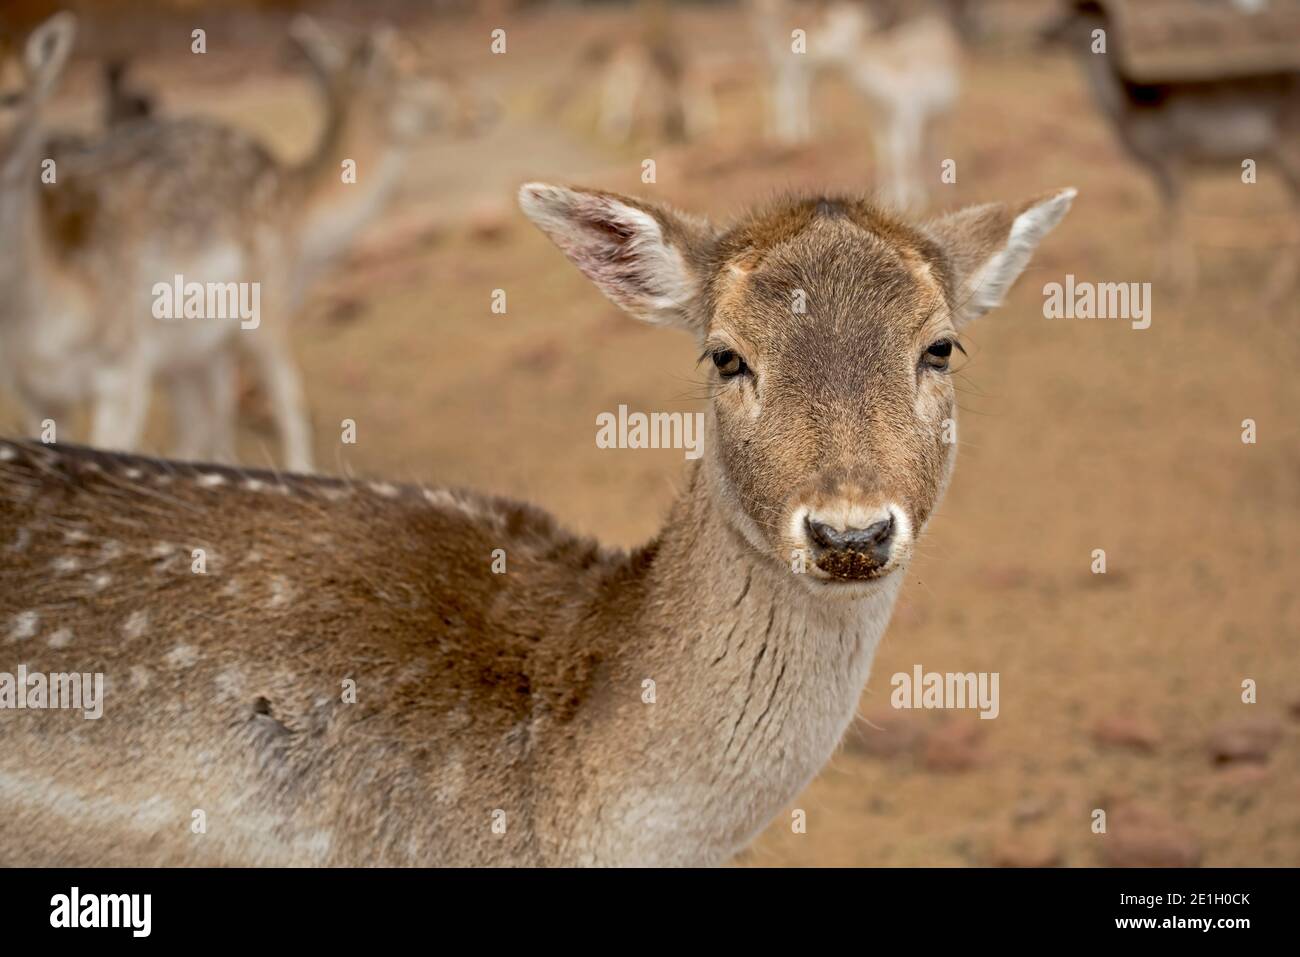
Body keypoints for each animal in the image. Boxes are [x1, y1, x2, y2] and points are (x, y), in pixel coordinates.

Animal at [754, 0, 967, 213]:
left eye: (830, 25)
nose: (803, 48)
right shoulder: (879, 118)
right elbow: (885, 152)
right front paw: (888, 198)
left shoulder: (908, 115)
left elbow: (904, 154)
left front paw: (910, 202)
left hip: (946, 114)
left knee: (938, 144)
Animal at [1045, 0, 1300, 293]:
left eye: (1072, 16)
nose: (1042, 35)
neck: (1130, 106)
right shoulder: (1161, 169)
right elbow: (1165, 216)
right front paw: (1163, 276)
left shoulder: (1171, 157)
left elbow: (1178, 215)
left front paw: (1183, 282)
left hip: (1289, 151)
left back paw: (1278, 283)